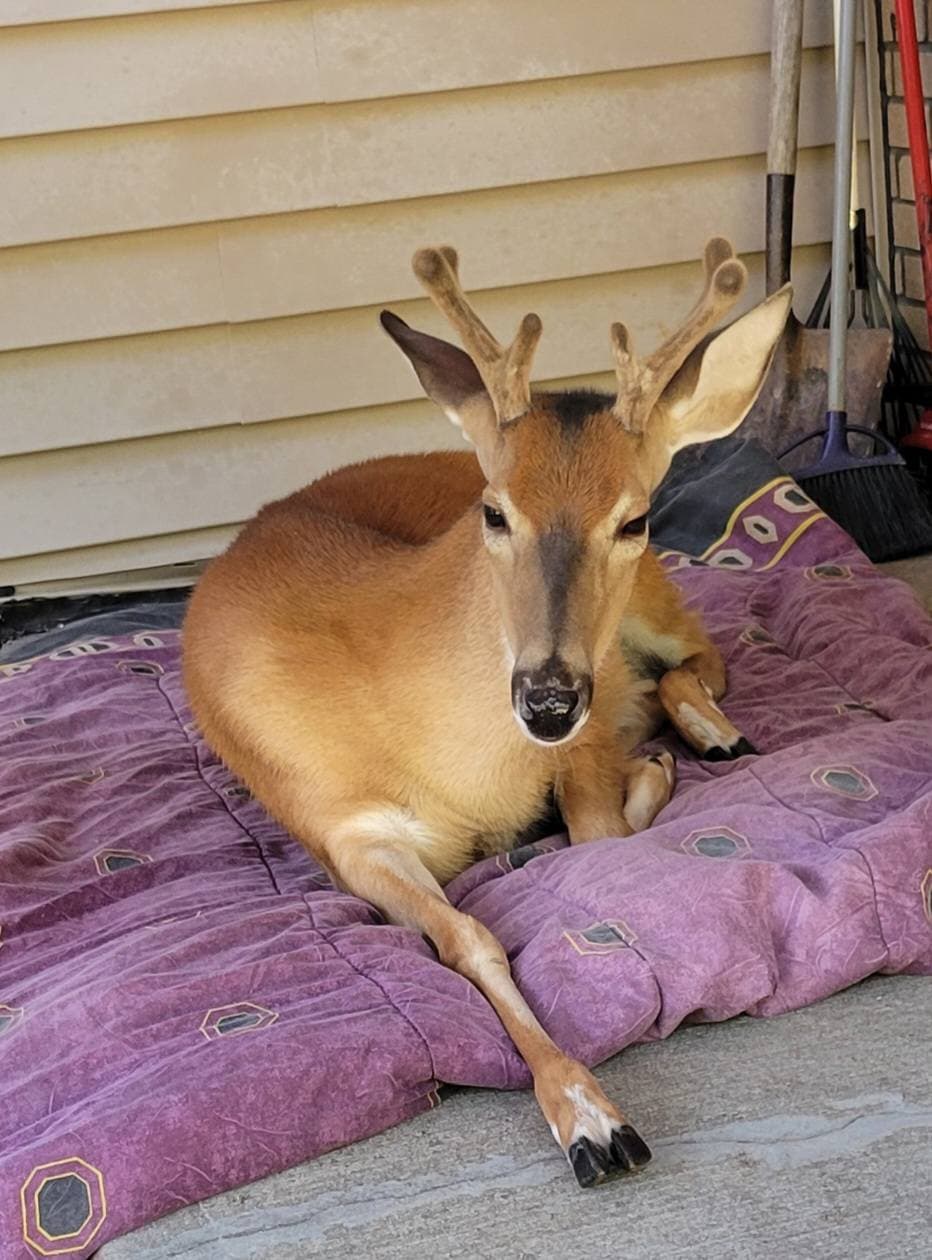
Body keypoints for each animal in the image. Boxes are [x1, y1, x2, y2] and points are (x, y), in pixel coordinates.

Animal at [182, 238, 791, 1187]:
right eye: (495, 510)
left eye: (635, 519)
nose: (546, 697)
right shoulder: (344, 831)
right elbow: (469, 938)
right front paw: (590, 1120)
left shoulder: (584, 726)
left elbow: (600, 834)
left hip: (649, 614)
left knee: (702, 660)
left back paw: (708, 736)